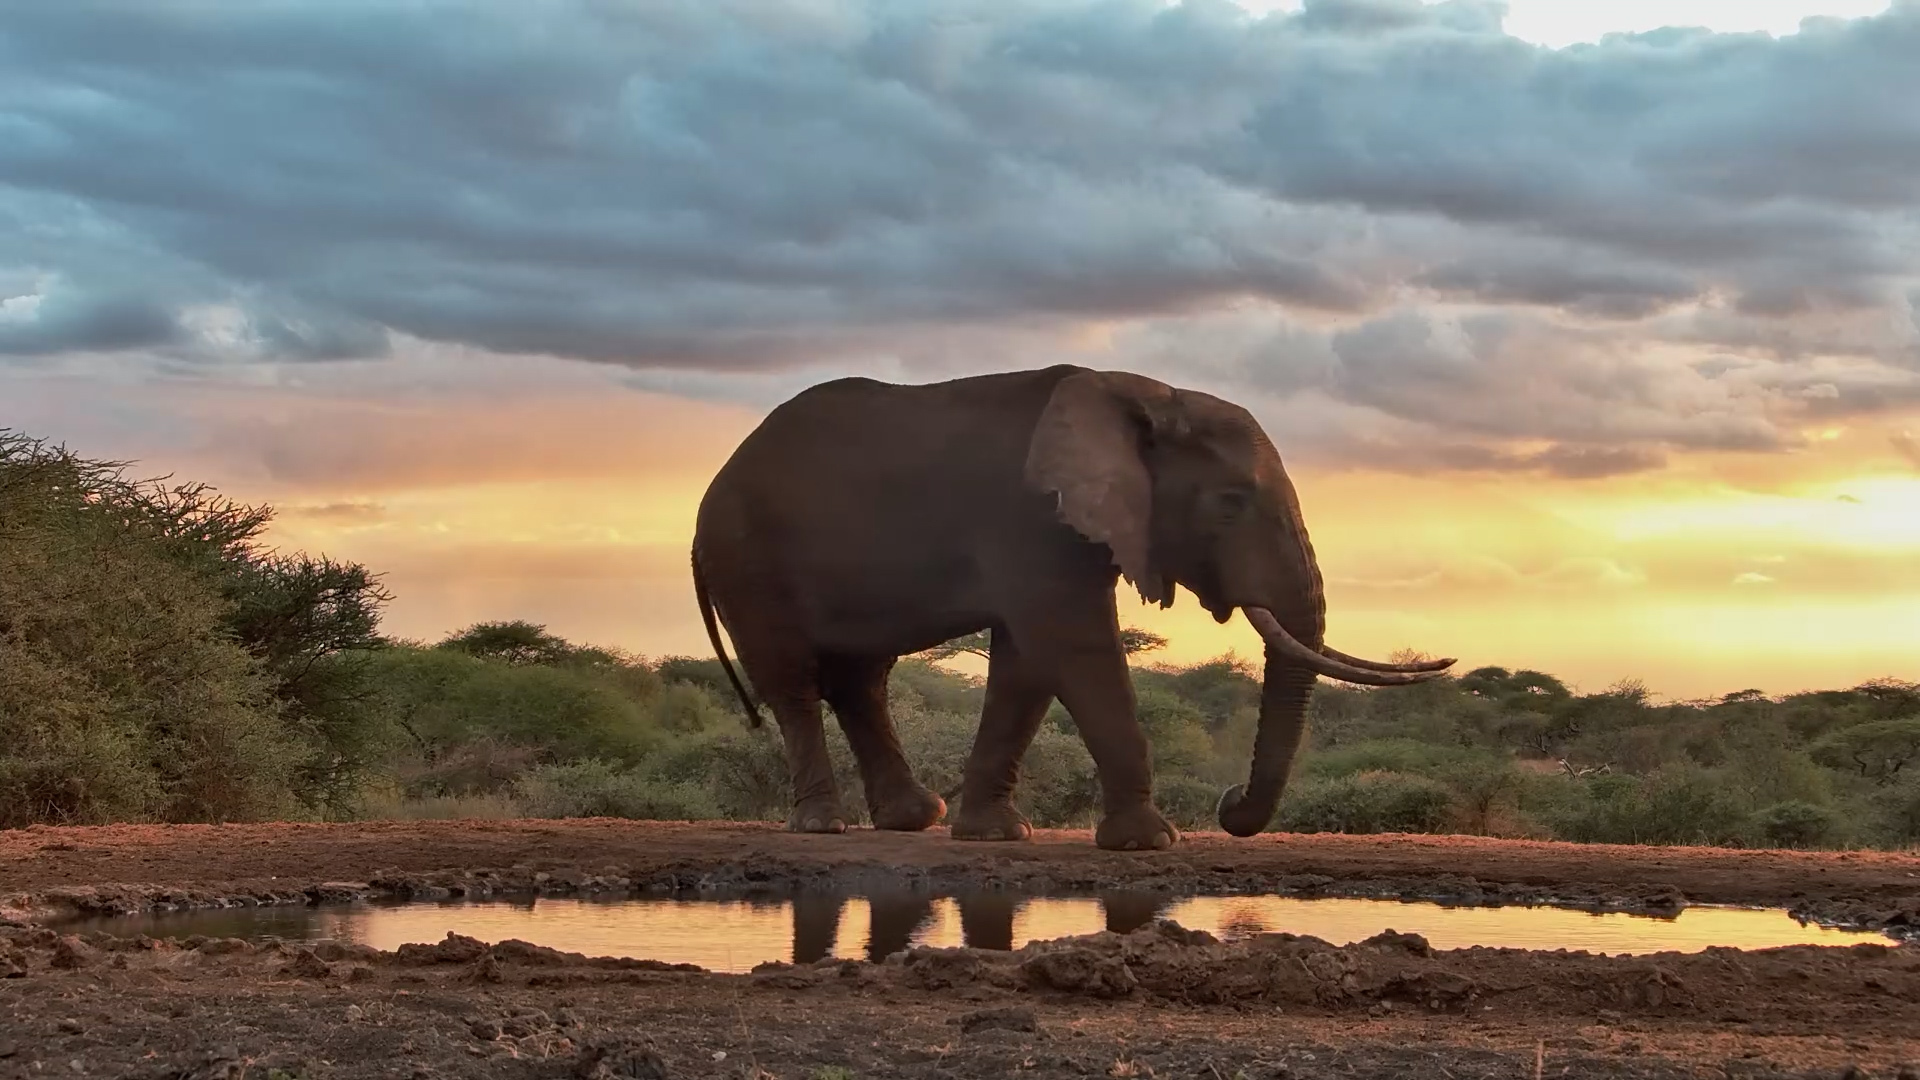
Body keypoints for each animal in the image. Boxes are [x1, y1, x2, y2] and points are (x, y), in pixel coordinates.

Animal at [691, 364, 1454, 851]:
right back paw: (823, 826)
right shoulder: (1031, 520)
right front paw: (1149, 843)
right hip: (748, 560)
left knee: (861, 680)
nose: (1229, 802)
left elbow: (1028, 665)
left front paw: (996, 836)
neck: (1148, 395)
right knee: (793, 681)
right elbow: (1073, 644)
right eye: (1230, 504)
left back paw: (912, 818)